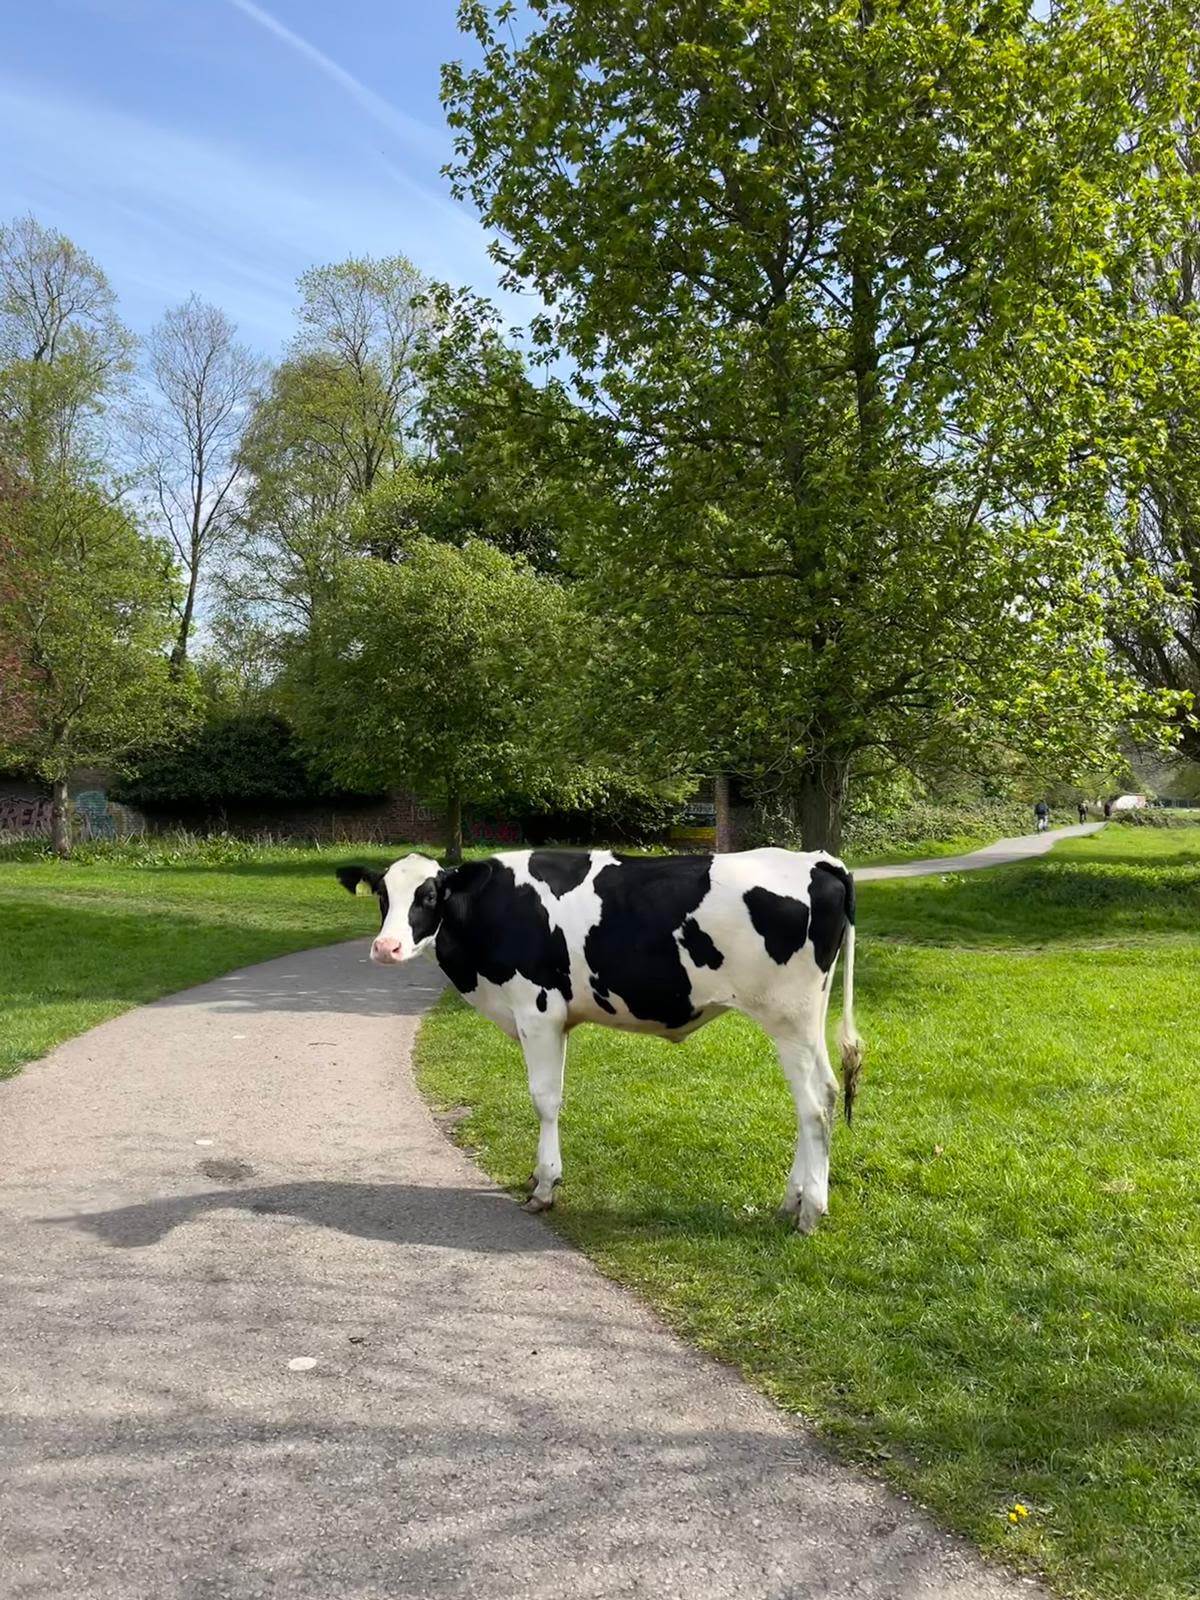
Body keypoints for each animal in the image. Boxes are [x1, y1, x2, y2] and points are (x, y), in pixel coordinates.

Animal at [336, 848, 864, 1234]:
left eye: (429, 896)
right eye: (382, 894)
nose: (386, 948)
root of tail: (820, 861)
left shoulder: (538, 1010)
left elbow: (545, 1099)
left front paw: (545, 1186)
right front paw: (538, 1176)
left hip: (788, 1016)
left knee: (812, 1106)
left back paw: (810, 1212)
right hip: (809, 1018)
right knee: (827, 1093)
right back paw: (793, 1201)